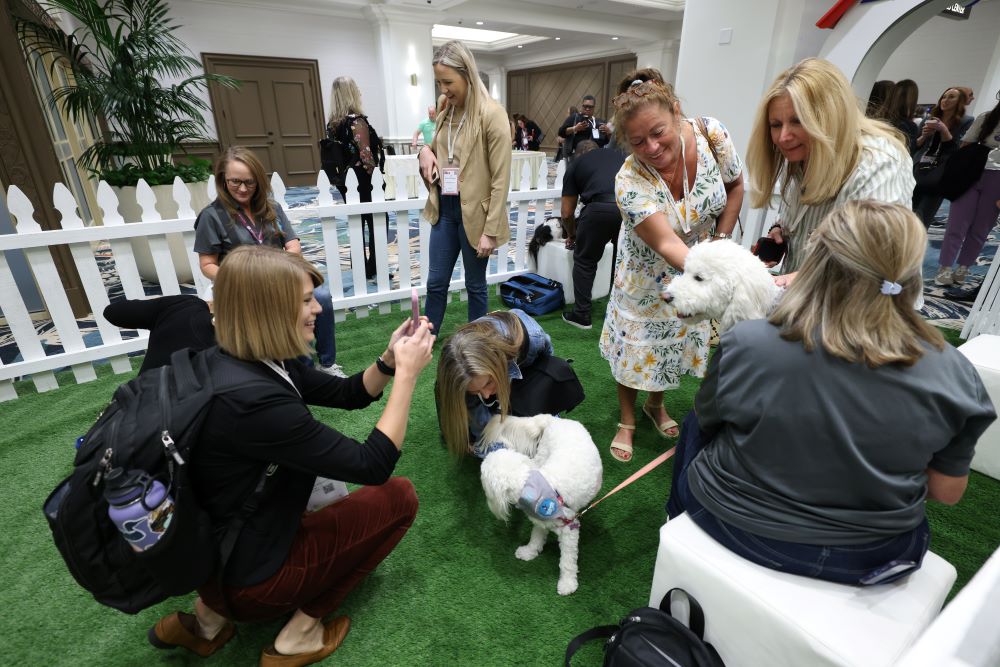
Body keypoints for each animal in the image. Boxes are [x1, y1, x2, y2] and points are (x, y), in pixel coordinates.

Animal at [476, 414, 600, 596]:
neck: (531, 488)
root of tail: (553, 419)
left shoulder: (570, 529)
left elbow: (567, 561)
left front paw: (567, 584)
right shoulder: (541, 522)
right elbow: (536, 537)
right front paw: (529, 552)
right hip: (542, 454)